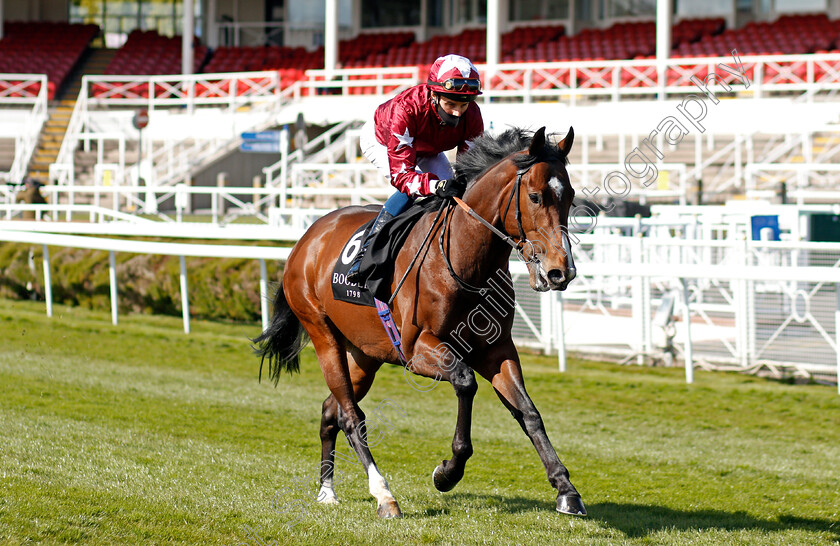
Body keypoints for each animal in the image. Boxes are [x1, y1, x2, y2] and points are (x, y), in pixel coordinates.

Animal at [256, 125, 584, 516]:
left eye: (571, 197)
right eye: (534, 196)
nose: (560, 272)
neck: (462, 259)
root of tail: (307, 237)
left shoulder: (497, 349)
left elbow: (528, 412)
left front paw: (566, 489)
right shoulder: (416, 350)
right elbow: (465, 382)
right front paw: (448, 472)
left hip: (364, 355)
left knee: (329, 410)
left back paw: (326, 490)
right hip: (323, 335)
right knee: (351, 416)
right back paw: (383, 495)